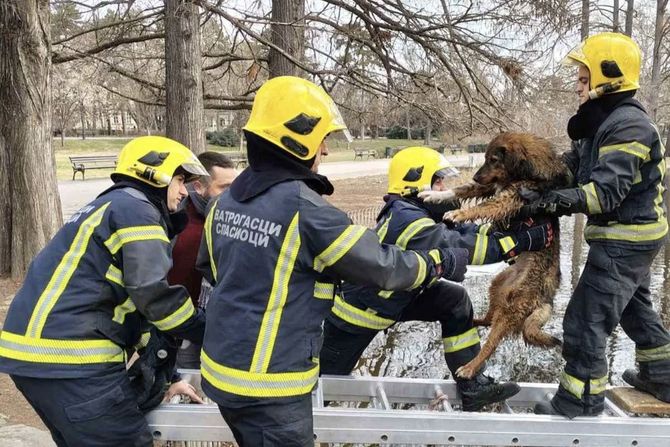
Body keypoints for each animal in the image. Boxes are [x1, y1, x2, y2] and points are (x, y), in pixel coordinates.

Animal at [426, 131, 572, 380]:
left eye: (494, 160)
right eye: (484, 158)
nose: (476, 176)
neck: (528, 171)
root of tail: (547, 297)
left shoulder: (510, 197)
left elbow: (483, 207)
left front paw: (458, 213)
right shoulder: (492, 186)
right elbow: (462, 189)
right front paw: (434, 194)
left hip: (512, 310)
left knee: (492, 343)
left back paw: (471, 367)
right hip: (498, 284)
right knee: (488, 320)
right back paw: (473, 321)